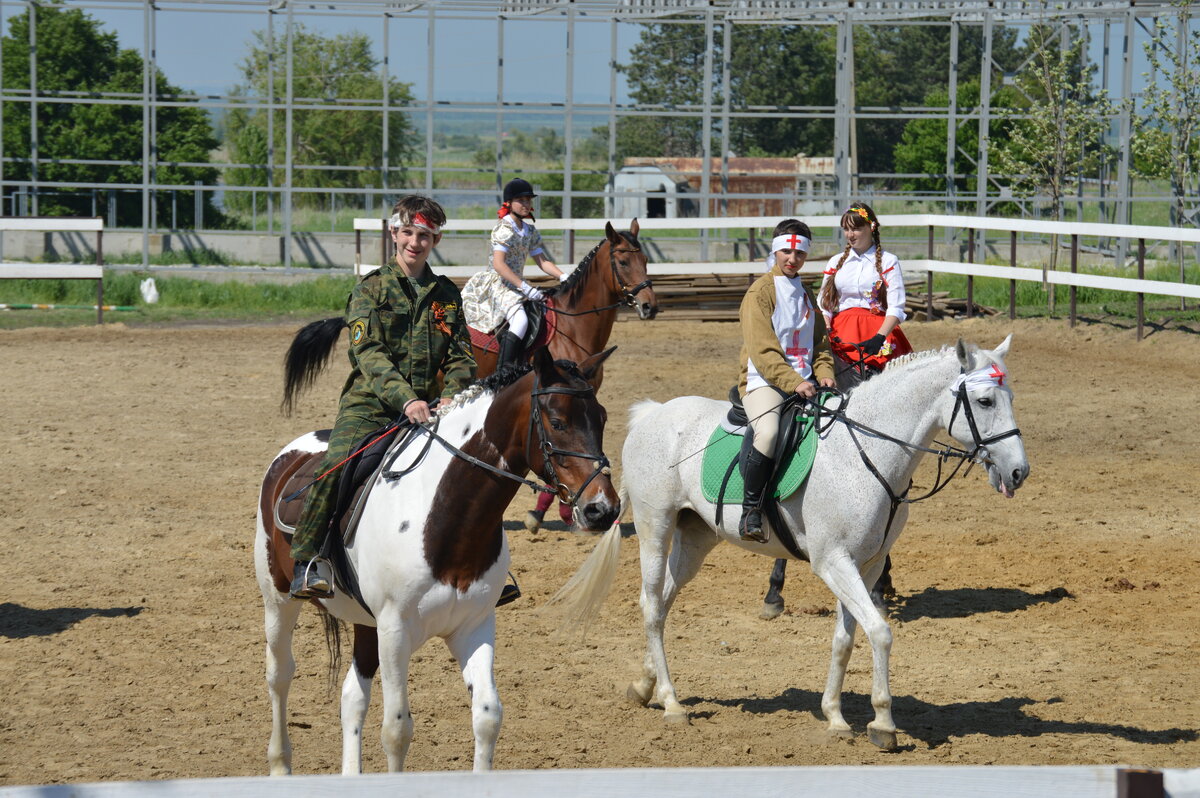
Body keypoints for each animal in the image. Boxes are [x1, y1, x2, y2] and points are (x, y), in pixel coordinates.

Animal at [254, 343, 619, 772]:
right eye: (558, 422)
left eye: (602, 418)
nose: (603, 509)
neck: (446, 517)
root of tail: (290, 454)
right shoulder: (395, 631)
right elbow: (397, 731)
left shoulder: (473, 625)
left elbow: (488, 716)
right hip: (279, 600)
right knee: (280, 675)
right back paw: (280, 763)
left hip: (366, 623)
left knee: (352, 697)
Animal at [552, 338, 1032, 748]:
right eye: (985, 401)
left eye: (1010, 398)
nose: (1019, 473)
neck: (865, 452)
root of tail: (653, 413)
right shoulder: (834, 561)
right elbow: (879, 631)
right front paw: (883, 723)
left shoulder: (868, 564)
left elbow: (845, 639)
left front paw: (836, 716)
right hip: (656, 527)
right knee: (651, 605)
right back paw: (672, 702)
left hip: (696, 538)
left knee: (665, 603)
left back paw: (644, 685)